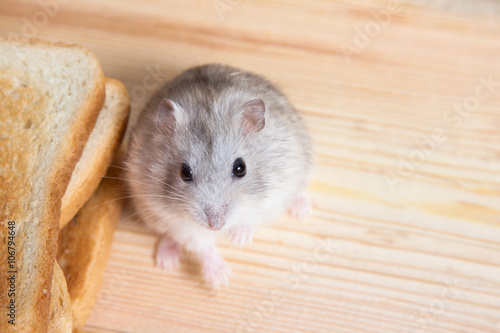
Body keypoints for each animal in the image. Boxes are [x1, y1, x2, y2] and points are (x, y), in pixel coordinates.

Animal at [125, 63, 312, 286]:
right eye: (184, 172)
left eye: (240, 168)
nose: (216, 226)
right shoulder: (176, 221)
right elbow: (202, 245)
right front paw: (221, 280)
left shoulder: (275, 194)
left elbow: (250, 219)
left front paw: (238, 240)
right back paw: (166, 261)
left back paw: (302, 211)